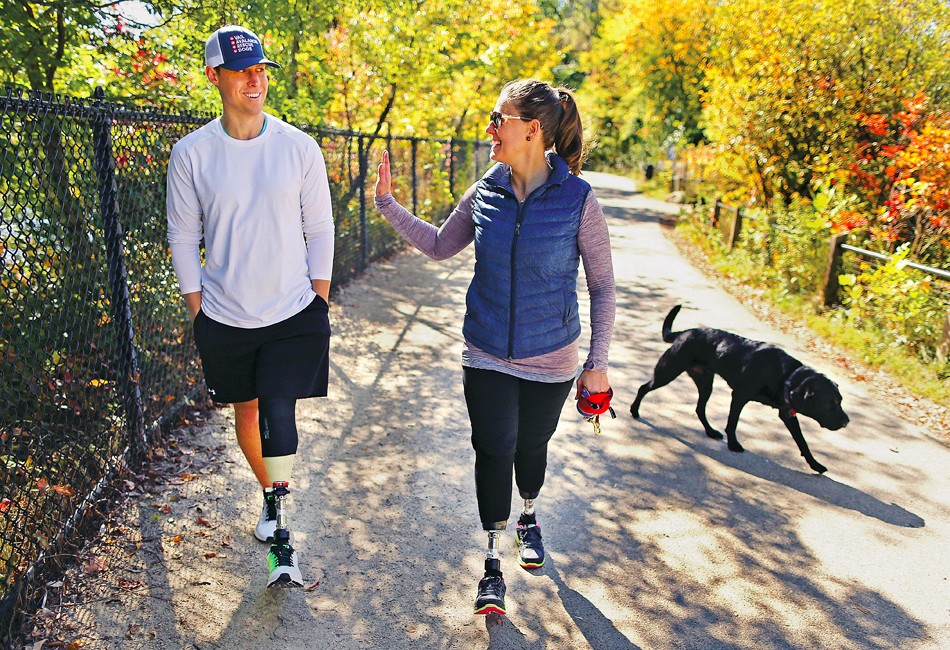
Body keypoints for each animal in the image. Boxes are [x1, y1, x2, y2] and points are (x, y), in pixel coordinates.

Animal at [632, 304, 848, 470]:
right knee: (643, 387)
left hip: (705, 383)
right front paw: (733, 444)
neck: (786, 375)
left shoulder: (787, 414)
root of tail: (683, 333)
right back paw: (634, 410)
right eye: (830, 404)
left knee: (699, 408)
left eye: (840, 401)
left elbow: (802, 442)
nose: (847, 422)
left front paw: (815, 464)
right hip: (668, 371)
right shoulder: (740, 396)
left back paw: (711, 432)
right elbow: (732, 423)